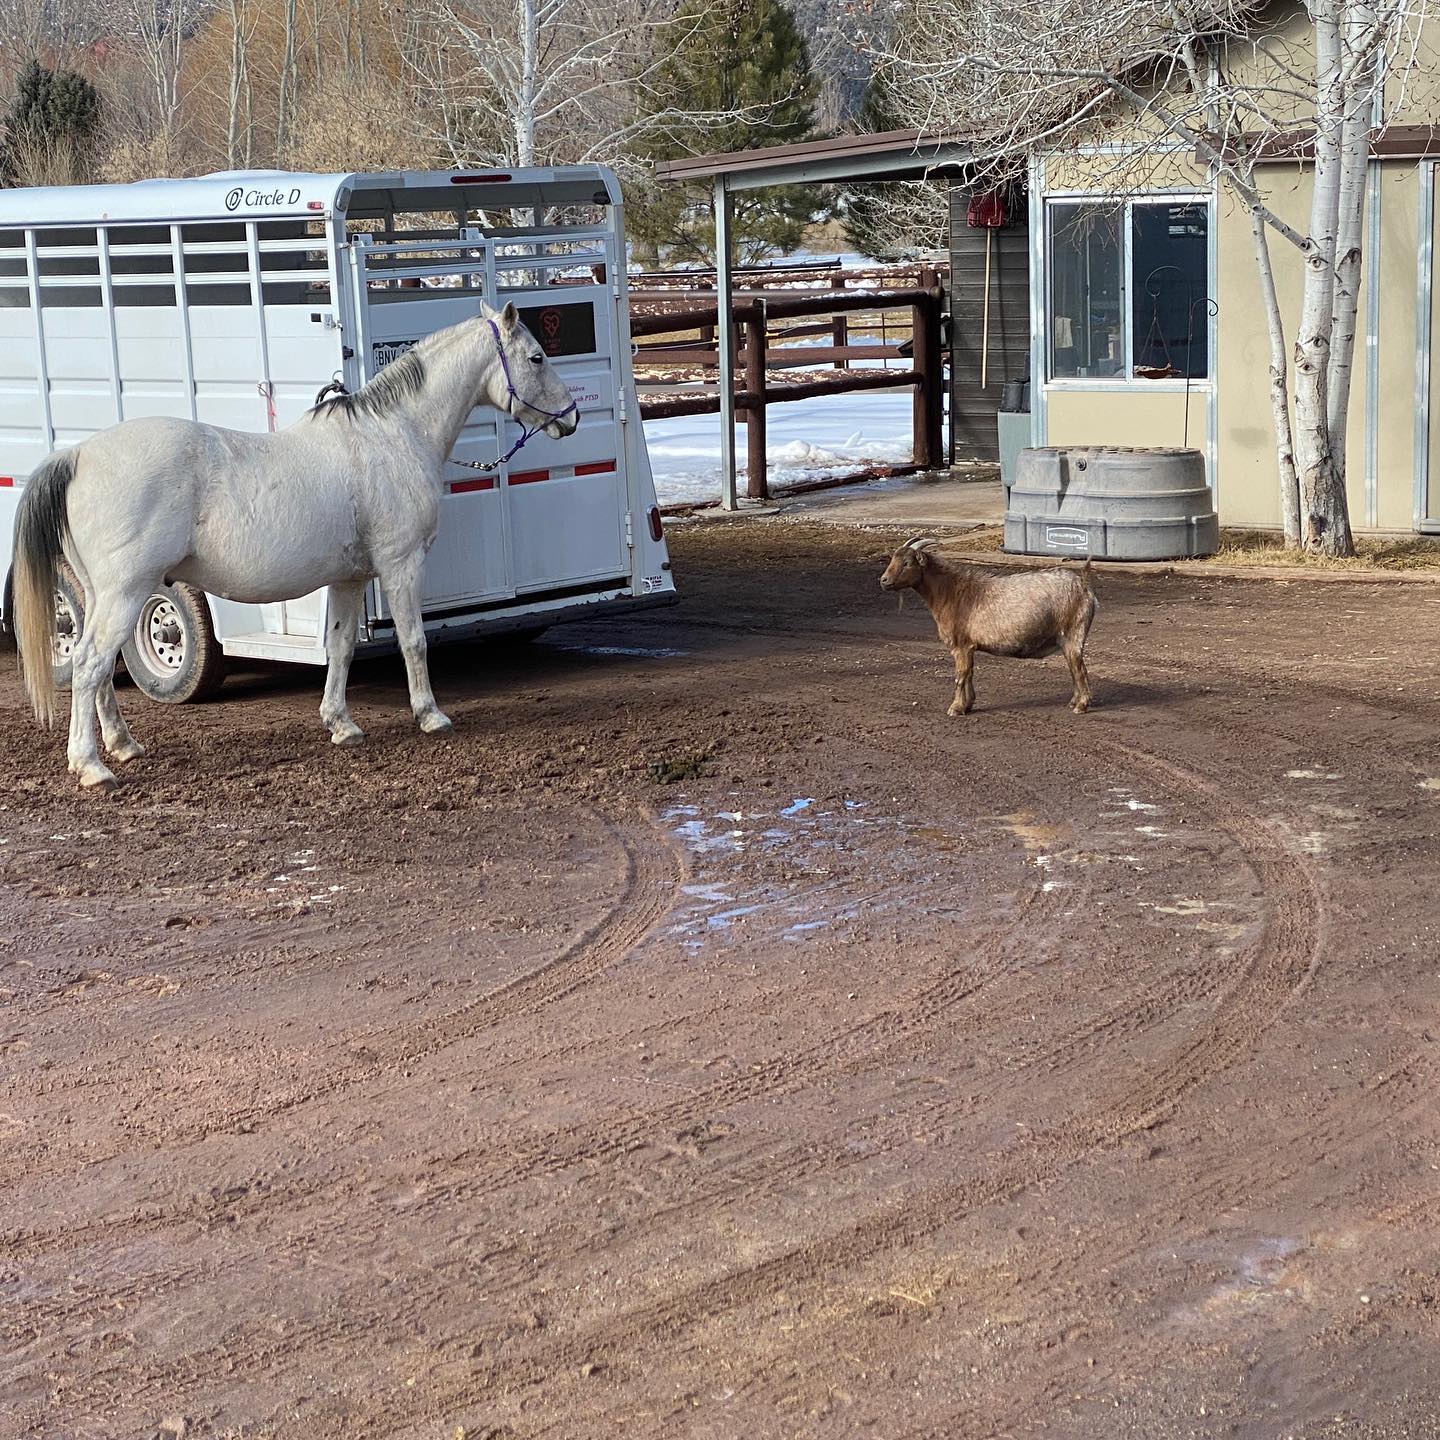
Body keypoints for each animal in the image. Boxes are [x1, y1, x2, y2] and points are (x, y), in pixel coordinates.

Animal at [879, 536, 1098, 716]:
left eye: (907, 563)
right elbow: (969, 674)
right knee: (1074, 668)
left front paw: (955, 708)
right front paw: (967, 705)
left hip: (1073, 633)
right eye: (892, 560)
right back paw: (1074, 702)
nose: (884, 580)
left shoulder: (961, 645)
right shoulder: (969, 647)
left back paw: (1081, 705)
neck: (951, 592)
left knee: (1079, 669)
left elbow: (960, 676)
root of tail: (1083, 584)